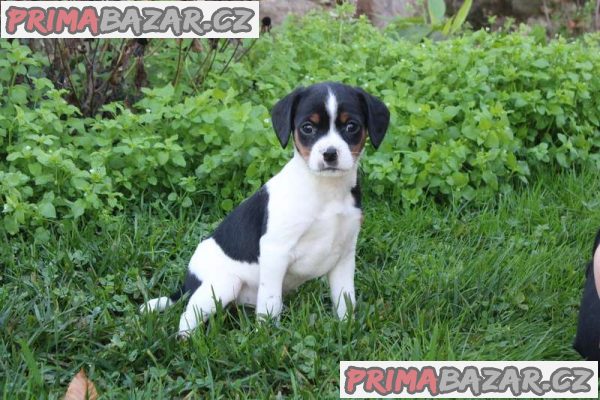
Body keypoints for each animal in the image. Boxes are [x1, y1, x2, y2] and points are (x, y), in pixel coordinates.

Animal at [142, 82, 392, 338]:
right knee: (188, 315)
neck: (324, 190)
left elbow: (345, 298)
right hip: (224, 284)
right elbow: (270, 301)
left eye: (352, 126)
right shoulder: (275, 251)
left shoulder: (344, 253)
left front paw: (346, 327)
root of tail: (188, 283)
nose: (330, 154)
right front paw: (267, 336)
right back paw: (187, 341)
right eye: (308, 127)